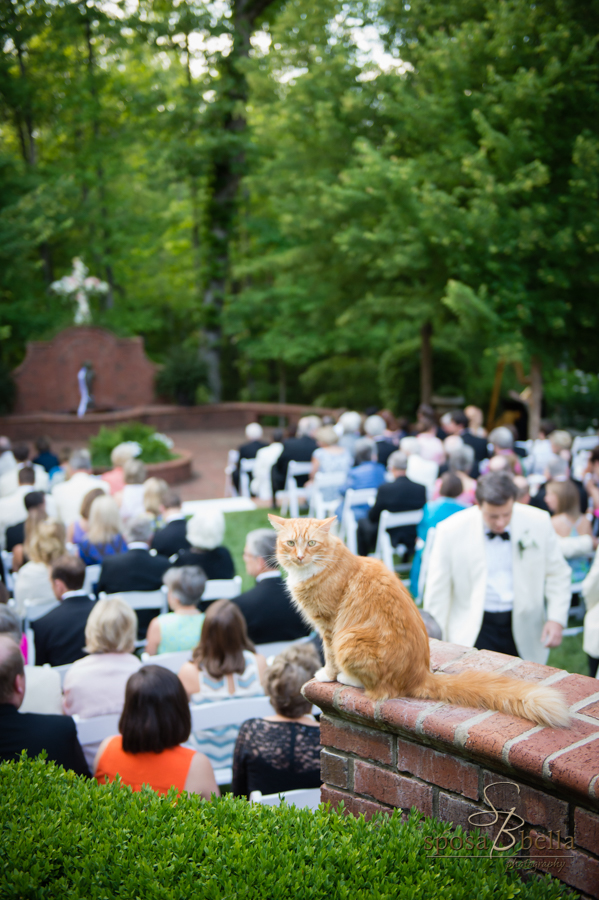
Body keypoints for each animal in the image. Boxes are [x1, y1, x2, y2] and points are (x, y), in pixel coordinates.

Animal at [270, 512, 568, 732]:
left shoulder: (328, 626)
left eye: (311, 544)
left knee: (378, 688)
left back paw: (347, 678)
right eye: (290, 543)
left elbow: (329, 657)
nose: (299, 556)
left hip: (349, 639)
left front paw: (327, 675)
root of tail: (420, 674)